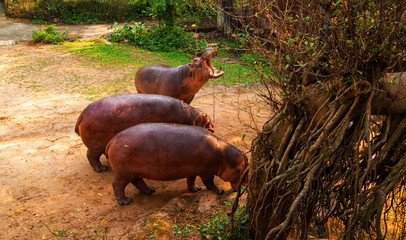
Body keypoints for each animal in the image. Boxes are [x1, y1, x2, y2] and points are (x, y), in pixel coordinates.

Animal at [73, 94, 213, 172]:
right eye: (208, 122)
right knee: (91, 157)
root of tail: (82, 114)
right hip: (95, 146)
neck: (193, 116)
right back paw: (101, 169)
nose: (213, 129)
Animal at [105, 123, 247, 205]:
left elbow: (191, 180)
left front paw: (196, 189)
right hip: (123, 174)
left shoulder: (194, 169)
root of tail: (111, 141)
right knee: (117, 185)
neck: (224, 157)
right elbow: (209, 183)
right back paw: (125, 202)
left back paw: (150, 190)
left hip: (133, 172)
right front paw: (220, 191)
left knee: (138, 181)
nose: (245, 188)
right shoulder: (207, 171)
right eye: (243, 170)